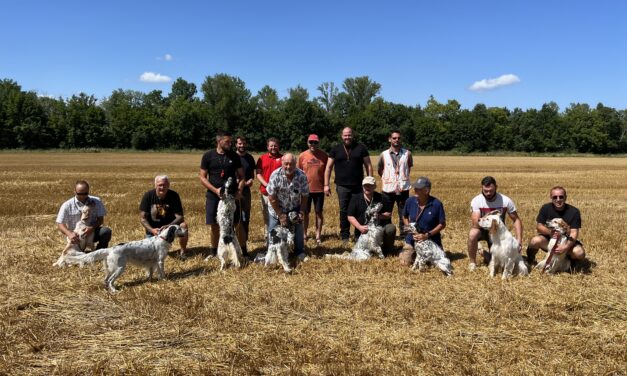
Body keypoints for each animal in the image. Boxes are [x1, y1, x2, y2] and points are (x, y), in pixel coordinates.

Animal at [55, 225, 186, 292]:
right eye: (179, 228)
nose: (186, 230)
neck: (163, 238)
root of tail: (110, 249)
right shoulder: (160, 261)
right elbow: (162, 273)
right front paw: (165, 280)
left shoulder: (151, 263)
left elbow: (150, 273)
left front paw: (150, 280)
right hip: (120, 268)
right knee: (110, 280)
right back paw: (114, 291)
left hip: (110, 268)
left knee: (106, 280)